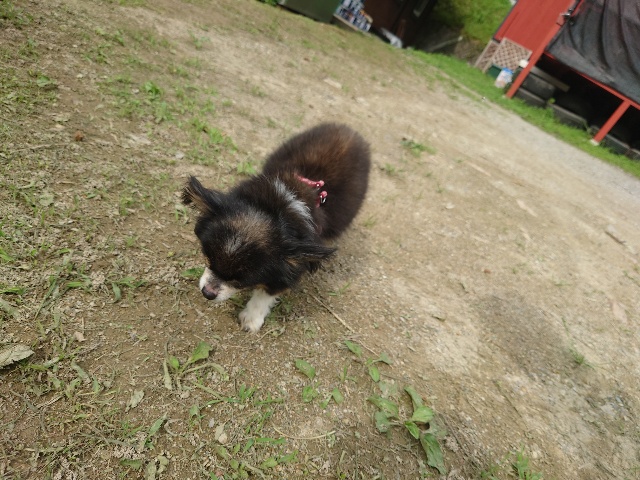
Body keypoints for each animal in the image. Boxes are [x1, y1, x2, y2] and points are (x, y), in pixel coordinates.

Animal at [182, 122, 371, 333]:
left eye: (240, 281)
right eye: (208, 260)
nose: (208, 293)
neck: (284, 201)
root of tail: (350, 130)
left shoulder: (291, 267)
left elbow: (266, 293)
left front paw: (252, 318)